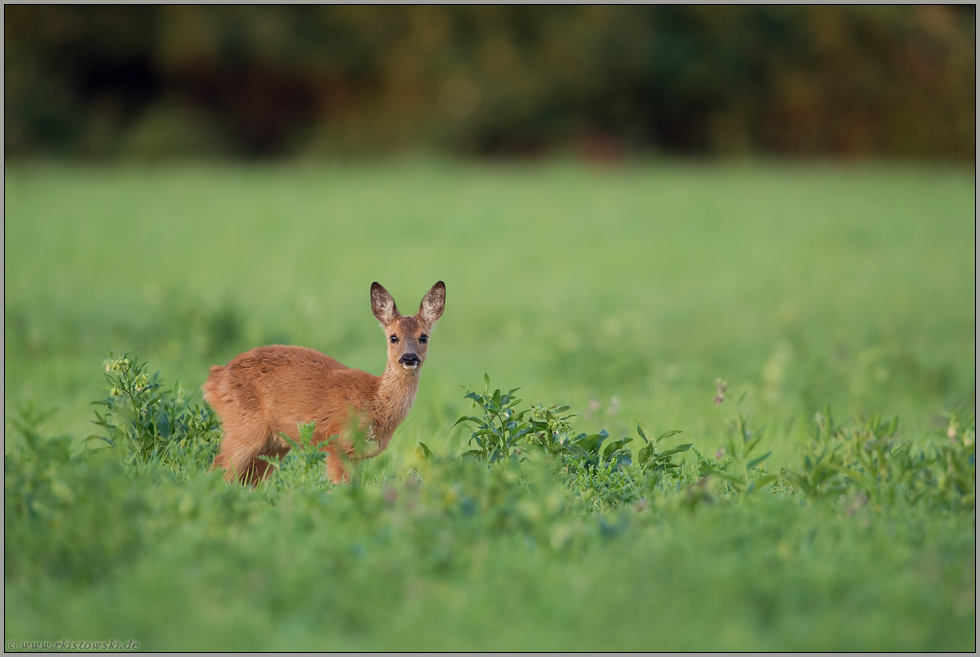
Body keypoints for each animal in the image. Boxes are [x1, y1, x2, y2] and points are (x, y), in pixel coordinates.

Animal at [204, 280, 448, 484]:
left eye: (423, 337)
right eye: (393, 337)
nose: (409, 358)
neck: (374, 400)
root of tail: (213, 379)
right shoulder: (338, 445)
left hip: (272, 445)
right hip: (243, 428)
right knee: (216, 472)